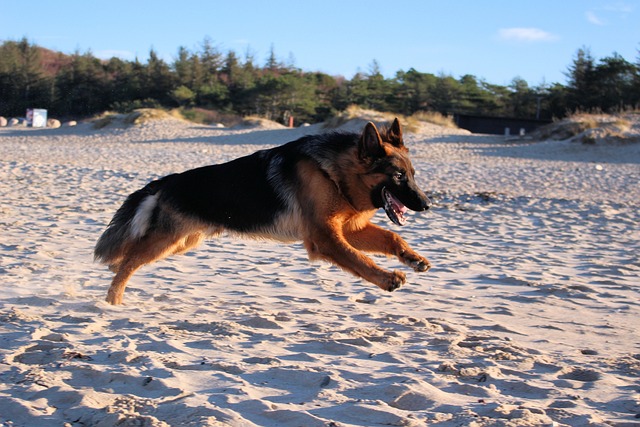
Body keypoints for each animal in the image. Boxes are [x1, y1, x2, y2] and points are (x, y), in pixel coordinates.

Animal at [95, 118, 432, 306]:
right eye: (398, 176)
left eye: (413, 175)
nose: (427, 205)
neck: (334, 172)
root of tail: (168, 180)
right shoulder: (325, 237)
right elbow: (359, 259)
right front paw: (387, 278)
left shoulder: (348, 230)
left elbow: (391, 238)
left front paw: (412, 258)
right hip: (166, 241)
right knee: (128, 262)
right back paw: (113, 301)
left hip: (179, 243)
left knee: (127, 258)